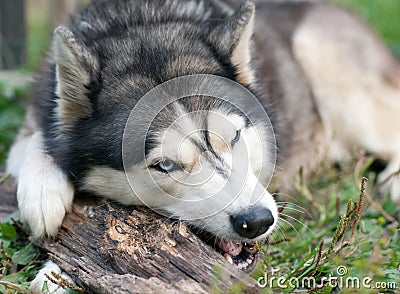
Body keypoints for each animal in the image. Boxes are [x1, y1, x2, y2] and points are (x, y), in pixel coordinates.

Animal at [5, 0, 400, 282]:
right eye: (164, 165)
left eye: (236, 136)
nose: (256, 221)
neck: (143, 21)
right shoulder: (36, 114)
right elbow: (35, 139)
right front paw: (43, 194)